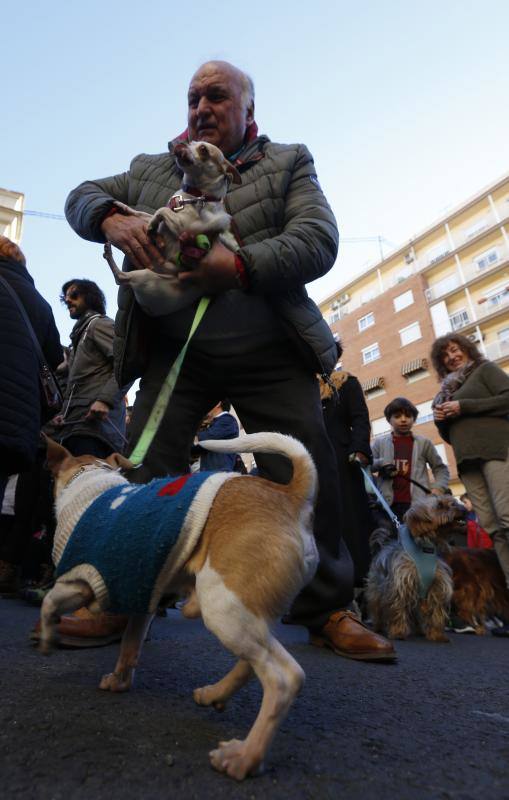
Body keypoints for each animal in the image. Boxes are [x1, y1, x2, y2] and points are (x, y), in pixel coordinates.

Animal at [39, 434, 320, 780]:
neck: (90, 479)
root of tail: (293, 498)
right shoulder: (143, 598)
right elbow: (130, 645)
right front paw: (120, 681)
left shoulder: (79, 579)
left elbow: (49, 602)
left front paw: (48, 637)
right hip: (248, 611)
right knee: (253, 662)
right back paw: (215, 694)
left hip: (223, 607)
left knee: (284, 679)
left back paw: (244, 757)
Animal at [102, 142, 241, 318]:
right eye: (191, 142)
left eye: (203, 149)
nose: (180, 144)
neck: (193, 195)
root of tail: (149, 309)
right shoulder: (163, 215)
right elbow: (143, 213)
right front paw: (122, 207)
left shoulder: (184, 227)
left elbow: (161, 211)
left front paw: (152, 226)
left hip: (147, 277)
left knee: (120, 278)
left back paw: (109, 253)